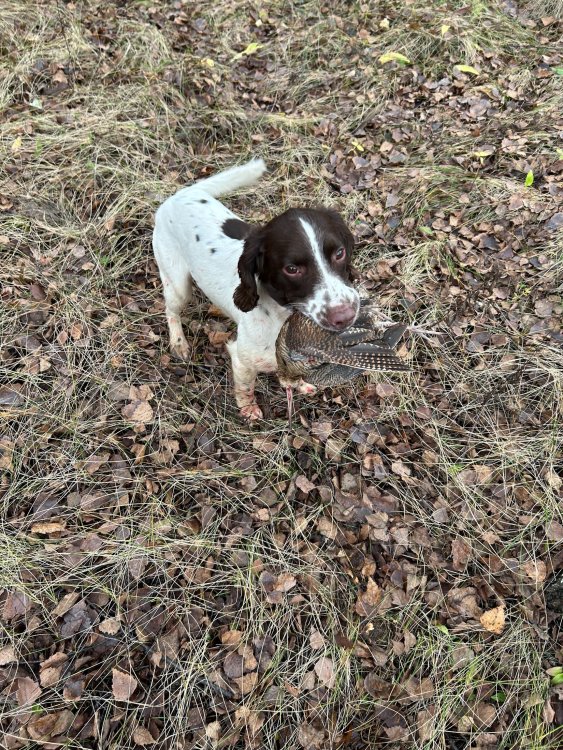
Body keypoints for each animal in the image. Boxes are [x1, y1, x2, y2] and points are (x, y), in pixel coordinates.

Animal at [152, 158, 360, 420]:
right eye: (292, 268)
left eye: (339, 253)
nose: (346, 316)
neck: (284, 318)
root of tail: (180, 194)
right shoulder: (241, 359)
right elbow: (245, 387)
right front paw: (248, 409)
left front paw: (299, 384)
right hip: (178, 284)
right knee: (171, 311)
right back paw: (178, 342)